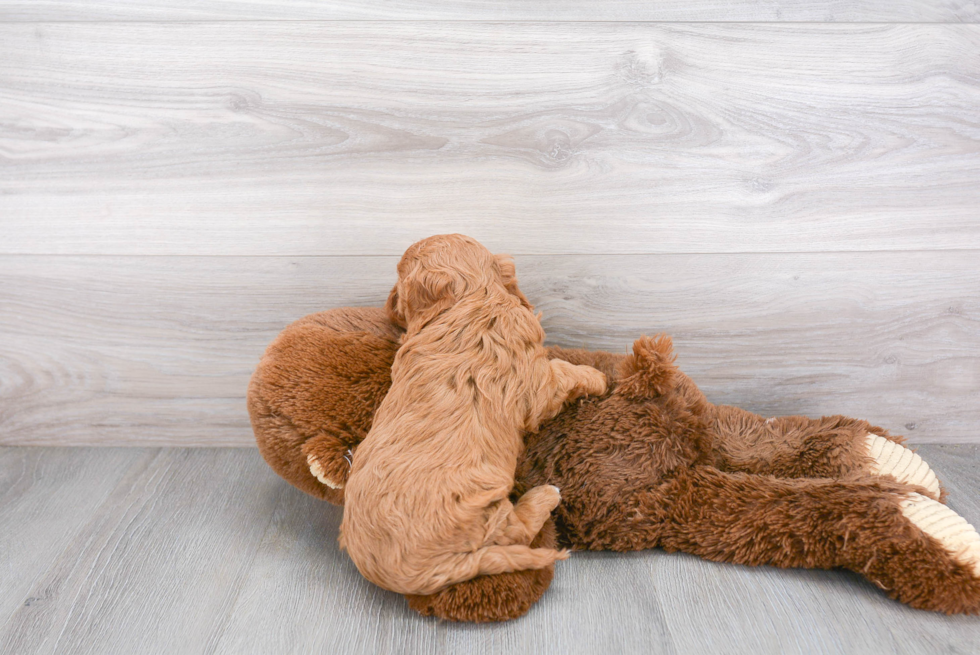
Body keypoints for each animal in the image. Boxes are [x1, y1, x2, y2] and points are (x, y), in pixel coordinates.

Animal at [340, 234, 608, 596]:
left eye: (398, 277)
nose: (387, 304)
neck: (474, 298)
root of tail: (412, 575)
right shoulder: (540, 385)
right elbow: (564, 371)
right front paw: (599, 377)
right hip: (481, 504)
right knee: (515, 531)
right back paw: (545, 495)